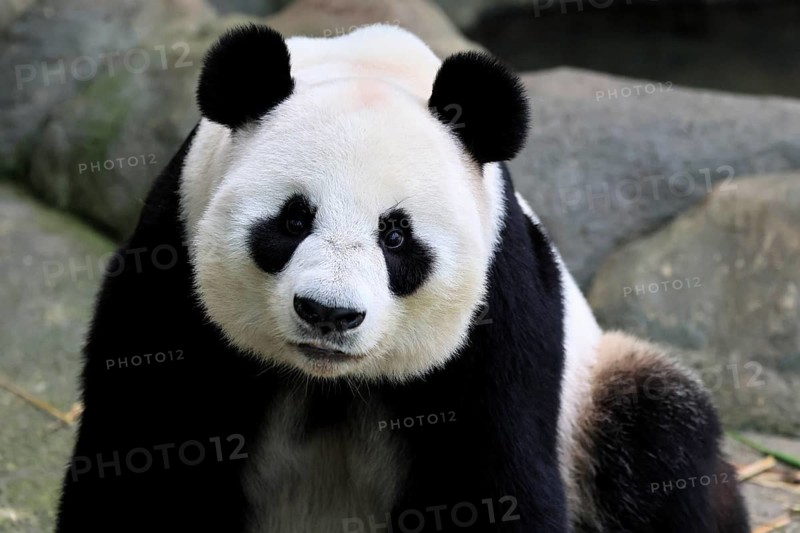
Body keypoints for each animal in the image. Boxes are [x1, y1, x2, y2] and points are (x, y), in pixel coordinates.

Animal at [56, 24, 749, 533]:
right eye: (293, 219)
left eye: (396, 237)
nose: (328, 314)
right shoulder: (169, 266)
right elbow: (146, 459)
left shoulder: (498, 313)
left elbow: (493, 482)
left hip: (595, 398)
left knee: (660, 433)